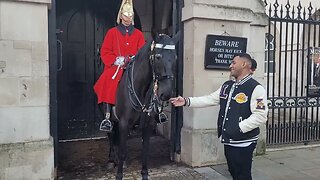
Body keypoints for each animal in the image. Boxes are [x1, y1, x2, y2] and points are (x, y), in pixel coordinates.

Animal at [107, 32, 180, 180]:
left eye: (175, 57)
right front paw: (119, 174)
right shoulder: (124, 123)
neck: (141, 89)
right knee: (111, 136)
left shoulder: (148, 124)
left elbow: (145, 152)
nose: (166, 94)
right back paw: (112, 160)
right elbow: (122, 151)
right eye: (158, 57)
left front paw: (144, 174)